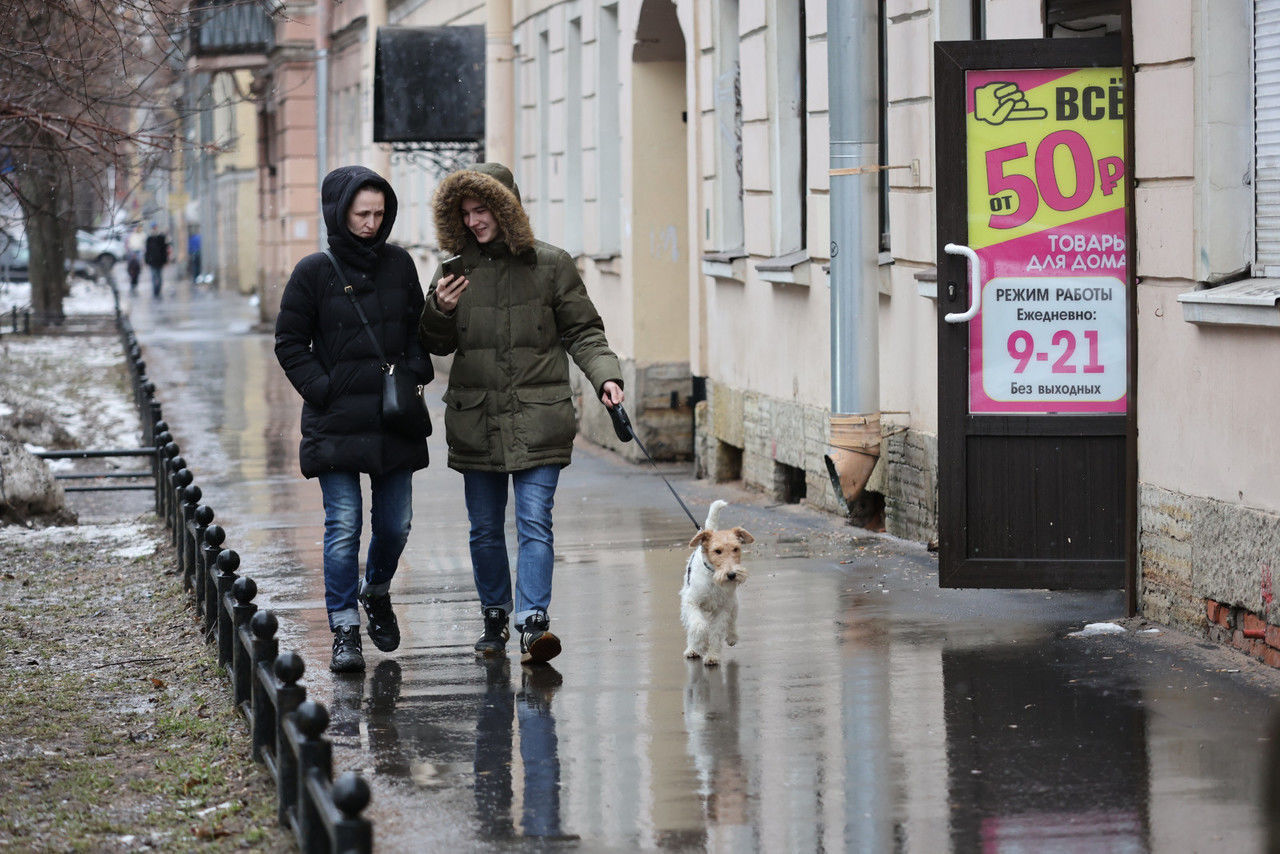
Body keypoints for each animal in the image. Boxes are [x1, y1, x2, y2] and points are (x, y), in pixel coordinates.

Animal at [680, 501, 747, 665]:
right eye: (717, 551)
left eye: (736, 548)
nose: (731, 574)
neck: (712, 576)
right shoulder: (691, 602)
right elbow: (699, 626)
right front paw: (701, 645)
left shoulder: (723, 608)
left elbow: (716, 632)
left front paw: (712, 655)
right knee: (692, 627)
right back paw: (692, 649)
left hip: (733, 603)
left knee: (732, 622)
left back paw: (732, 637)